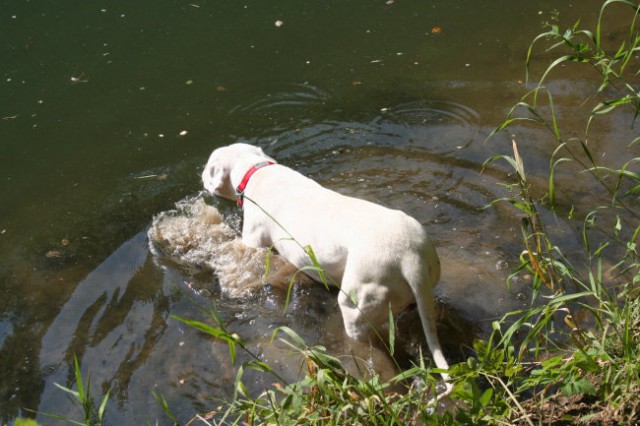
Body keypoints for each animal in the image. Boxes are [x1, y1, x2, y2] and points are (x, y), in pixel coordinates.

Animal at [201, 145, 450, 392]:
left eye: (208, 164)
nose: (200, 175)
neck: (257, 170)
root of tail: (409, 257)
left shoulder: (253, 241)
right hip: (422, 287)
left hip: (357, 306)